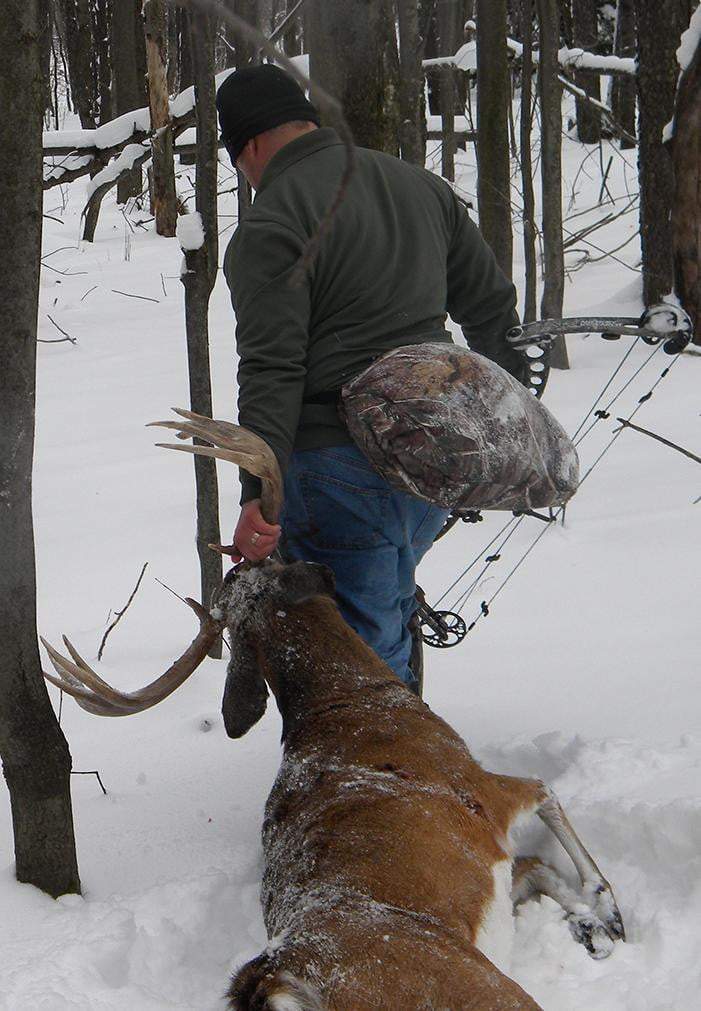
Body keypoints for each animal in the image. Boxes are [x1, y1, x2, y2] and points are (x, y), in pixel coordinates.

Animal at [43, 408, 623, 1011]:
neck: (352, 694)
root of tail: (285, 974)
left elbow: (535, 864)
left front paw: (589, 924)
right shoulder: (477, 788)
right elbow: (545, 792)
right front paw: (605, 908)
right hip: (478, 986)